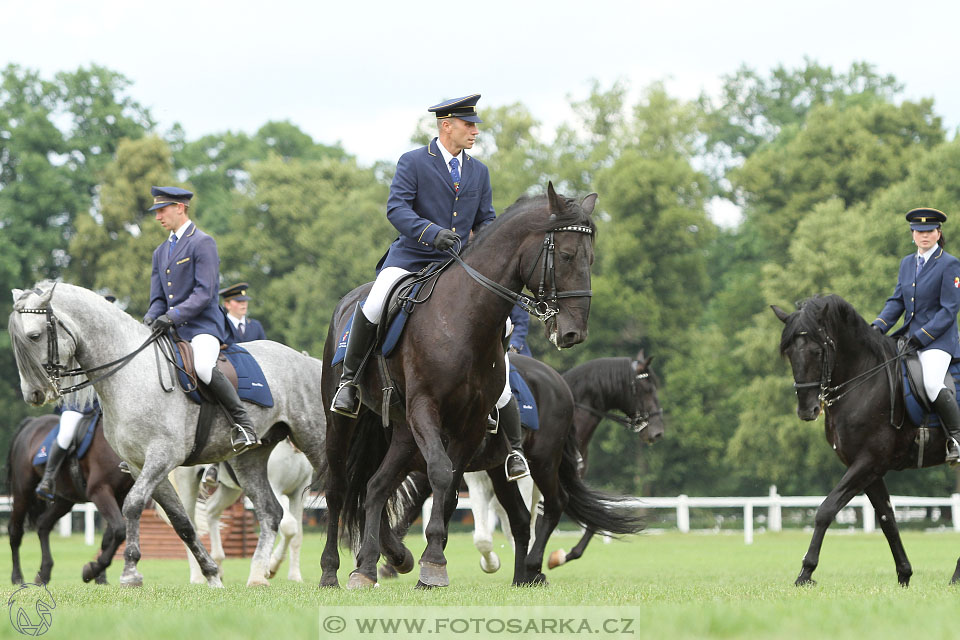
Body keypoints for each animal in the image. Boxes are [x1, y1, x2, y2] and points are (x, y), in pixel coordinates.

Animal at [7, 416, 133, 584]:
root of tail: (32, 422)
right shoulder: (100, 492)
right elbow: (119, 530)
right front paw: (91, 570)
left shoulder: (120, 496)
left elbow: (109, 537)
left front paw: (99, 576)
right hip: (23, 492)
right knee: (15, 531)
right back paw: (17, 577)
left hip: (65, 500)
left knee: (43, 524)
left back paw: (43, 573)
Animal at [318, 182, 596, 588]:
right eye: (567, 255)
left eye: (592, 259)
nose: (573, 333)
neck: (465, 317)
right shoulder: (426, 409)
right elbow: (439, 472)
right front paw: (431, 564)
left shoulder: (472, 422)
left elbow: (448, 488)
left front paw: (431, 562)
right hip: (344, 422)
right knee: (339, 488)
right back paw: (331, 571)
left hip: (408, 434)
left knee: (376, 486)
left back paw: (371, 566)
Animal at [772, 296, 960, 584]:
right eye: (790, 352)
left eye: (818, 351)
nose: (807, 410)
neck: (864, 381)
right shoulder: (867, 468)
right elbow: (886, 518)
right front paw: (904, 575)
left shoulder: (869, 461)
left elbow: (825, 510)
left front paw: (806, 572)